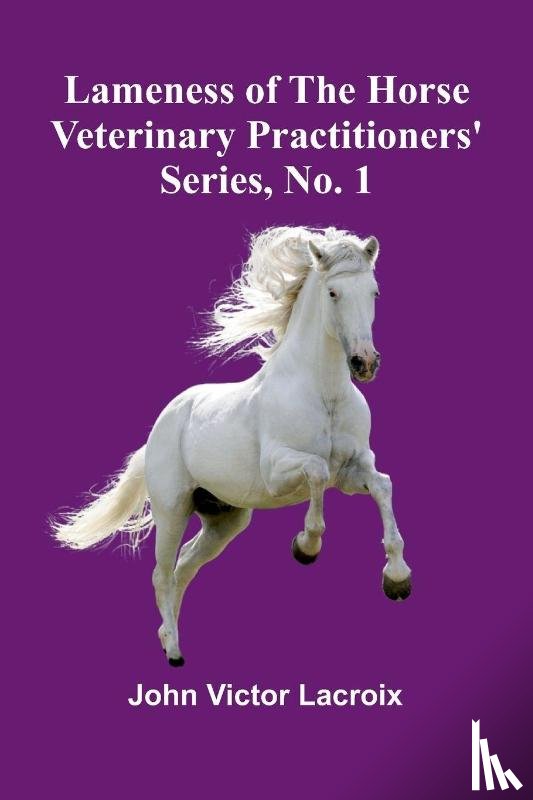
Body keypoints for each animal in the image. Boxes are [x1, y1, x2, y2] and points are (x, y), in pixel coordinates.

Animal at [52, 225, 412, 667]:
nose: (365, 363)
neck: (323, 393)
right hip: (173, 510)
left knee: (184, 568)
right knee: (162, 574)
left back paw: (166, 635)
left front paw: (397, 580)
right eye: (333, 293)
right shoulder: (279, 471)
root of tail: (161, 425)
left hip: (224, 519)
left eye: (374, 291)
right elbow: (316, 471)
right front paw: (306, 547)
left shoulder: (353, 469)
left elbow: (382, 485)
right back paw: (174, 650)